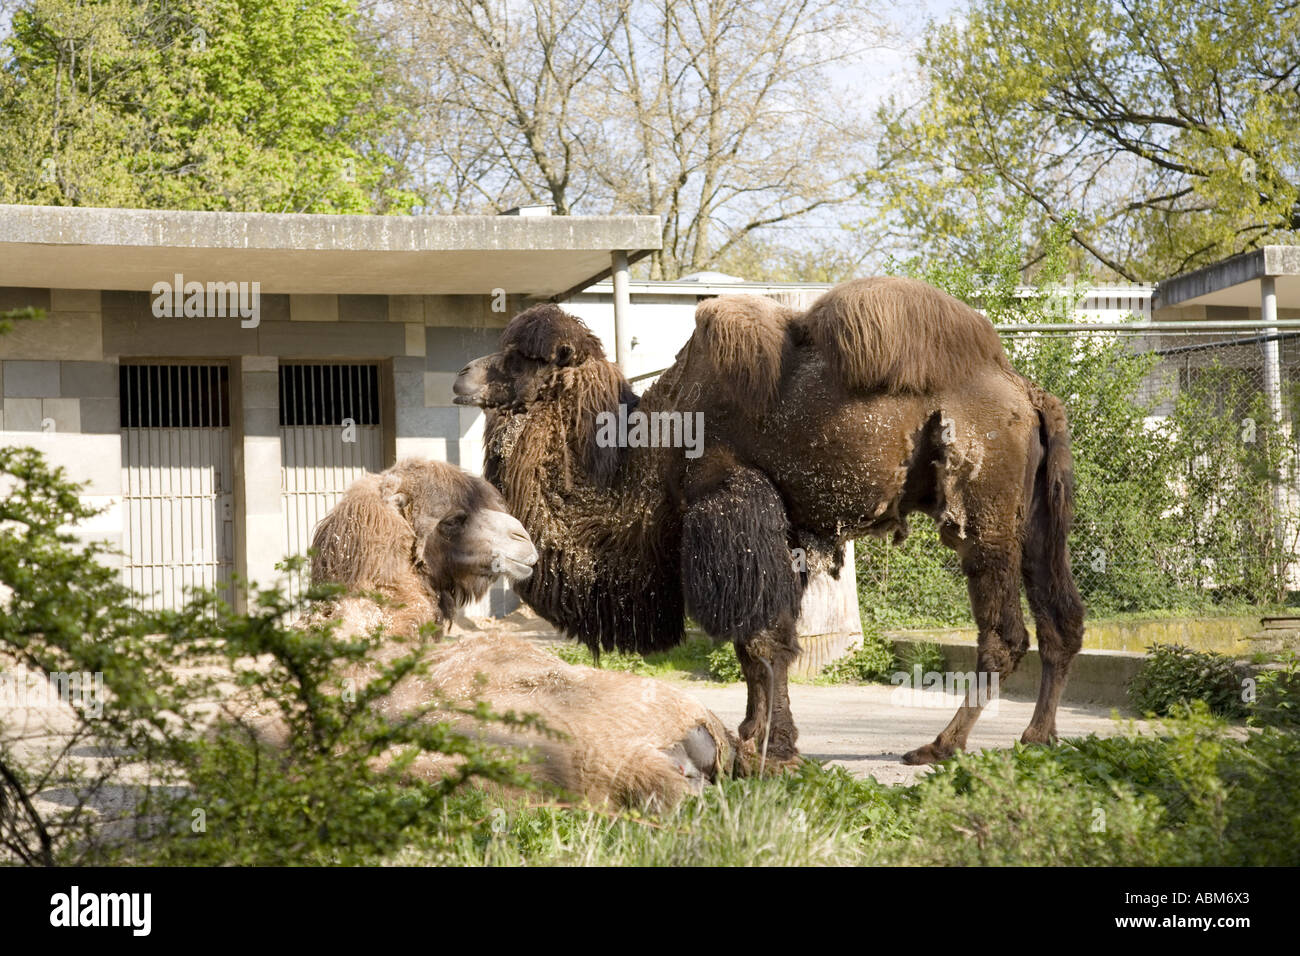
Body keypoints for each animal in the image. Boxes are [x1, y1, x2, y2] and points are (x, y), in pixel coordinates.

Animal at [453, 276, 1086, 768]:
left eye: (521, 358)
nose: (462, 377)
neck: (653, 451)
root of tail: (1028, 394)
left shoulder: (734, 512)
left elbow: (763, 642)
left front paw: (773, 748)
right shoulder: (778, 535)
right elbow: (756, 645)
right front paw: (751, 737)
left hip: (984, 515)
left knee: (1005, 634)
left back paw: (940, 746)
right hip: (1036, 521)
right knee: (1060, 621)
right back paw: (1036, 738)